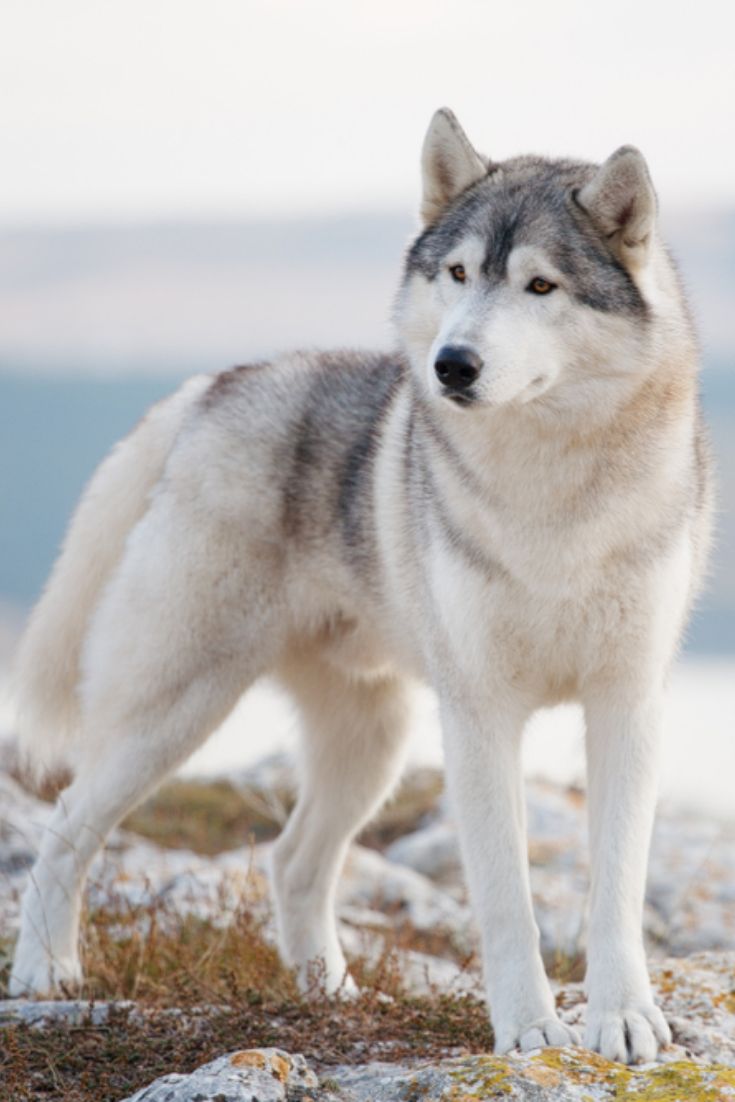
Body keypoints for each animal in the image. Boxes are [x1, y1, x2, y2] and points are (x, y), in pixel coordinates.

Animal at [10, 109, 714, 1057]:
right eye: (458, 274)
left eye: (540, 286)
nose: (452, 364)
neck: (552, 497)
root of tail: (216, 384)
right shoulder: (480, 716)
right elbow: (505, 898)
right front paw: (529, 1031)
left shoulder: (626, 703)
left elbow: (616, 891)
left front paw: (624, 1022)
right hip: (175, 712)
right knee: (65, 822)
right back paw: (45, 974)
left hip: (368, 745)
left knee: (290, 860)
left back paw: (329, 992)